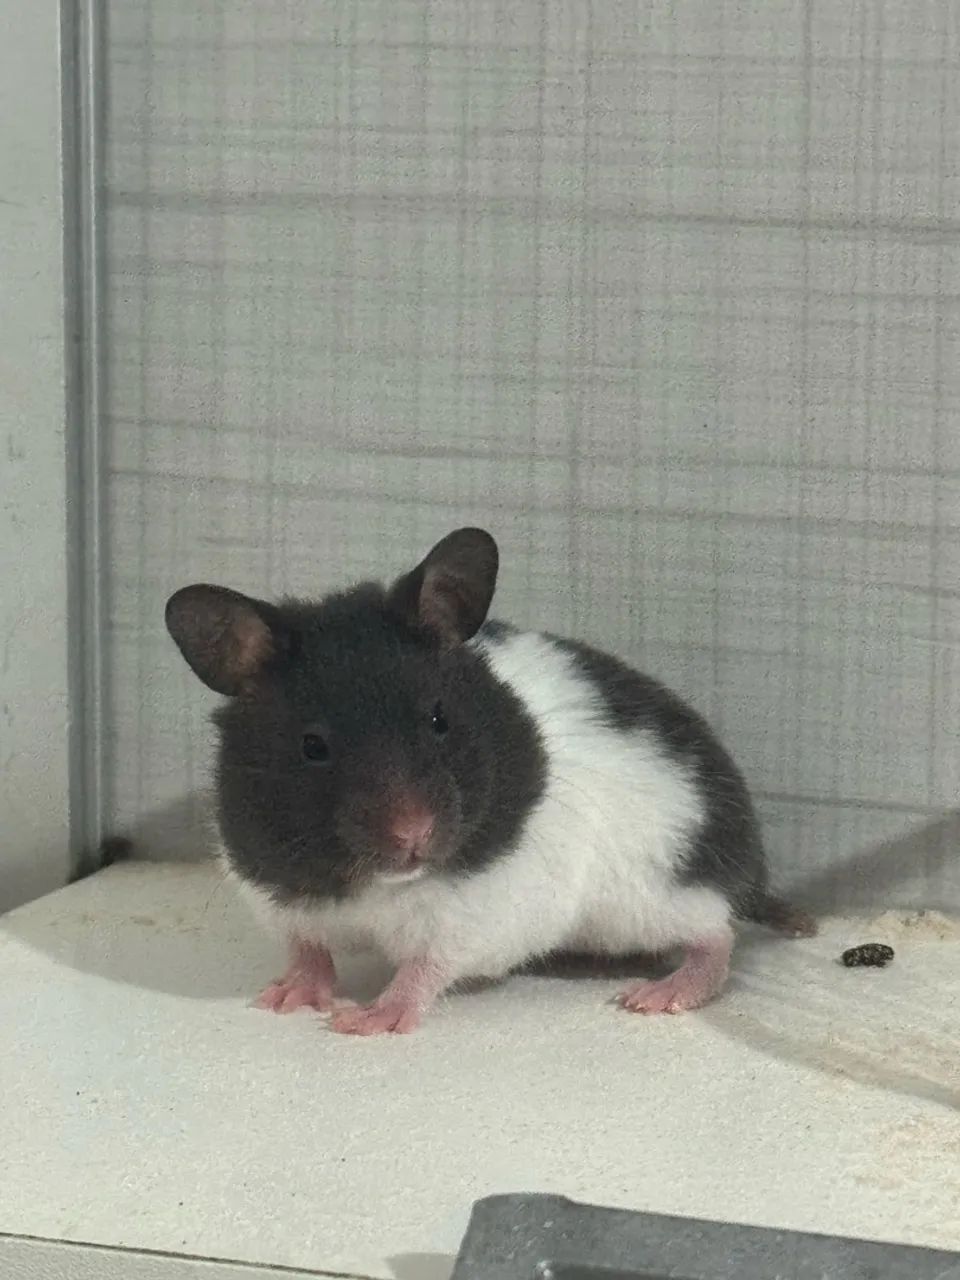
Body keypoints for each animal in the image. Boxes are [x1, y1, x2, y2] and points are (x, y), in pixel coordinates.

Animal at [165, 527, 815, 1035]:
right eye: (312, 747)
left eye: (438, 719)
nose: (414, 836)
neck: (376, 885)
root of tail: (751, 867)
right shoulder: (277, 894)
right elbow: (308, 951)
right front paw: (280, 1000)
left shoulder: (476, 912)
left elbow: (424, 969)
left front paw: (365, 1021)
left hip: (659, 891)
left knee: (718, 937)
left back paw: (653, 997)